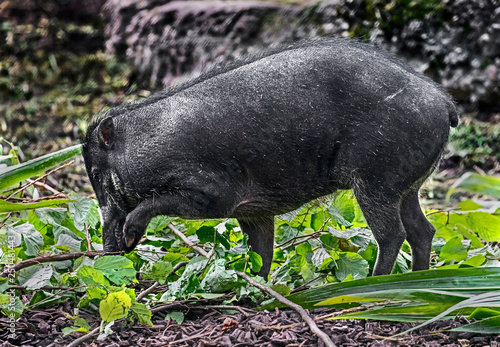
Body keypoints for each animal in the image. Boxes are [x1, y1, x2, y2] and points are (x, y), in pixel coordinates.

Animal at [81, 38, 458, 278]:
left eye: (98, 177)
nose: (109, 250)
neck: (148, 145)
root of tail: (444, 103)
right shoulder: (253, 211)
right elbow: (261, 252)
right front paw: (257, 289)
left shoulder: (213, 195)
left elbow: (153, 204)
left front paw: (131, 231)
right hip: (405, 186)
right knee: (423, 230)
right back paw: (416, 281)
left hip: (376, 181)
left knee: (393, 234)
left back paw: (373, 285)